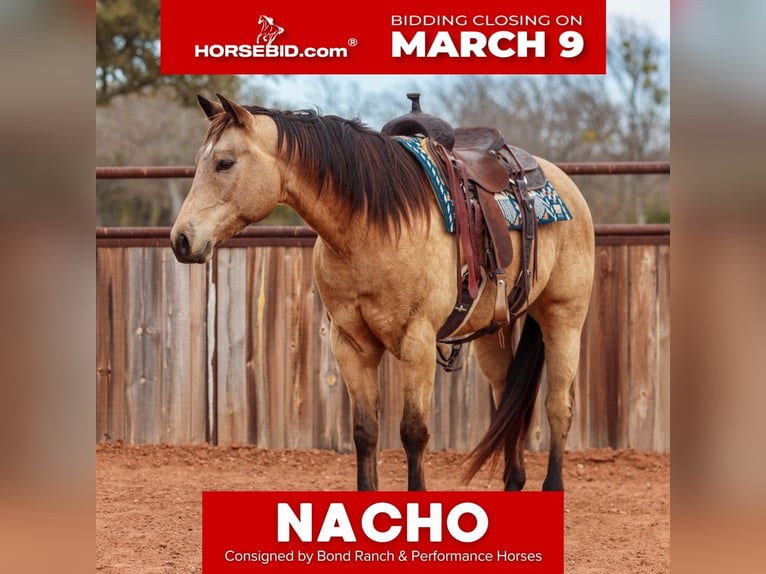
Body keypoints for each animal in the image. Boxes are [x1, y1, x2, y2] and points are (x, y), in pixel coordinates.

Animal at [170, 94, 595, 492]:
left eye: (225, 163)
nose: (181, 239)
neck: (370, 228)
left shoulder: (417, 341)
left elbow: (413, 433)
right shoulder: (350, 343)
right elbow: (365, 433)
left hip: (564, 319)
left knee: (559, 407)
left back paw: (553, 485)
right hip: (493, 332)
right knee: (508, 402)